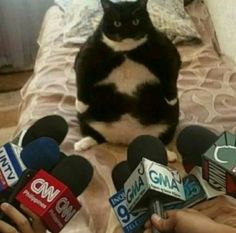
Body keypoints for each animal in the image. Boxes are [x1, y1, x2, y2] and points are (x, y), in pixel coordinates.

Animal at [74, 0, 181, 160]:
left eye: (135, 21)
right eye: (117, 23)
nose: (128, 32)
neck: (126, 51)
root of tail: (126, 139)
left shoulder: (167, 50)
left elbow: (171, 73)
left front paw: (172, 99)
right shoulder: (87, 53)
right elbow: (82, 76)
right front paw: (80, 104)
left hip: (171, 119)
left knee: (158, 142)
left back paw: (169, 155)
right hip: (86, 119)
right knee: (95, 136)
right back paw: (82, 144)